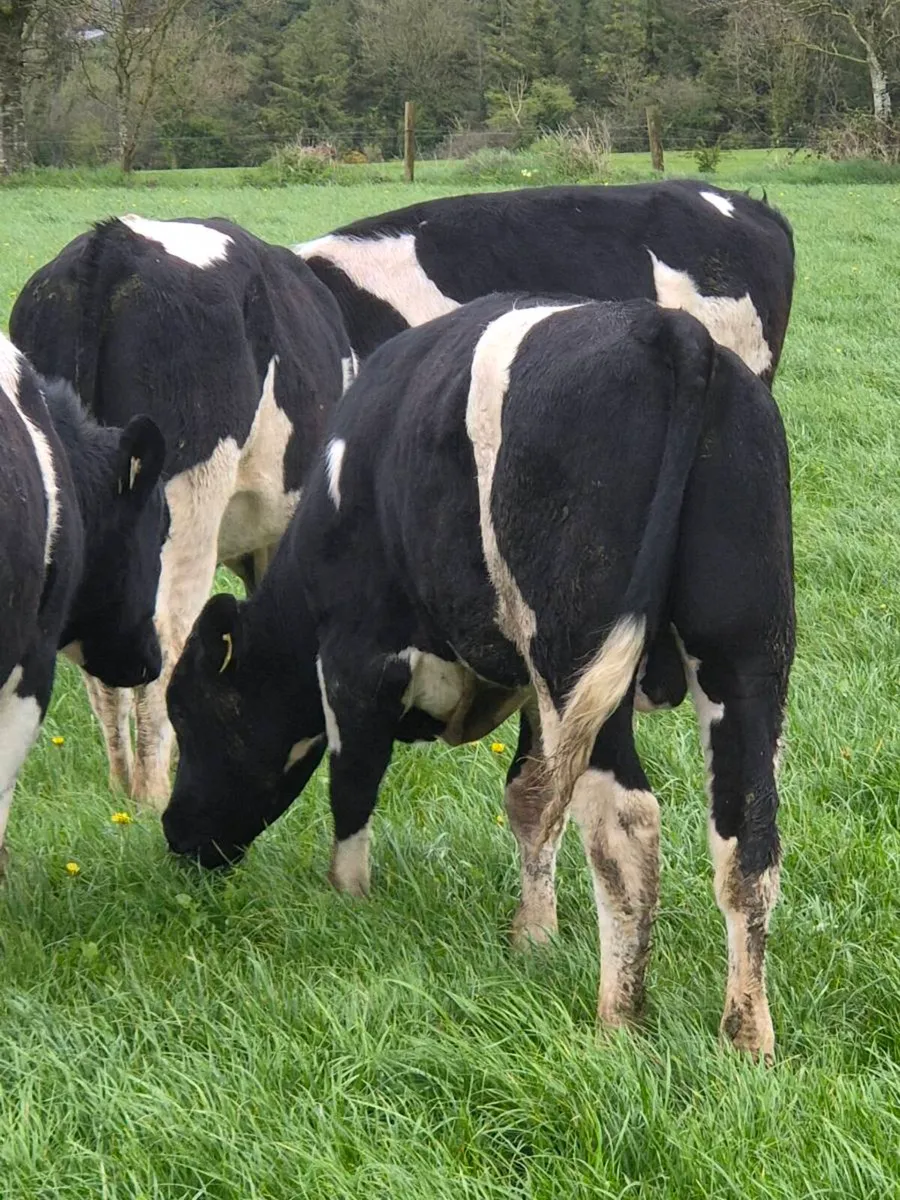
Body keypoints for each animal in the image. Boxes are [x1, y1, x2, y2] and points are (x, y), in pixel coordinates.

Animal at [161, 295, 795, 1061]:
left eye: (190, 715)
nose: (175, 831)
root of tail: (672, 330)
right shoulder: (529, 694)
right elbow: (530, 800)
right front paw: (534, 937)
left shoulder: (355, 657)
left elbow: (352, 783)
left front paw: (348, 897)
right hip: (746, 653)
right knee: (748, 833)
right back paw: (748, 1035)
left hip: (579, 650)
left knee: (626, 825)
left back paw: (620, 1019)